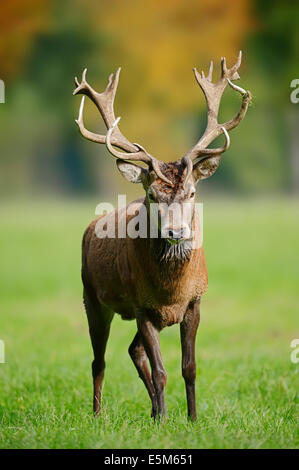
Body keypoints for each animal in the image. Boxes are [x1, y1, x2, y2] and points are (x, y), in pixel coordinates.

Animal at [74, 52, 252, 422]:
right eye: (152, 194)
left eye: (192, 192)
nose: (176, 232)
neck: (171, 291)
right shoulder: (140, 303)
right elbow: (161, 371)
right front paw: (167, 421)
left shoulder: (196, 300)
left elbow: (189, 367)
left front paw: (192, 419)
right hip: (92, 296)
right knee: (99, 361)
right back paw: (99, 415)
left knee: (133, 350)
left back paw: (155, 410)